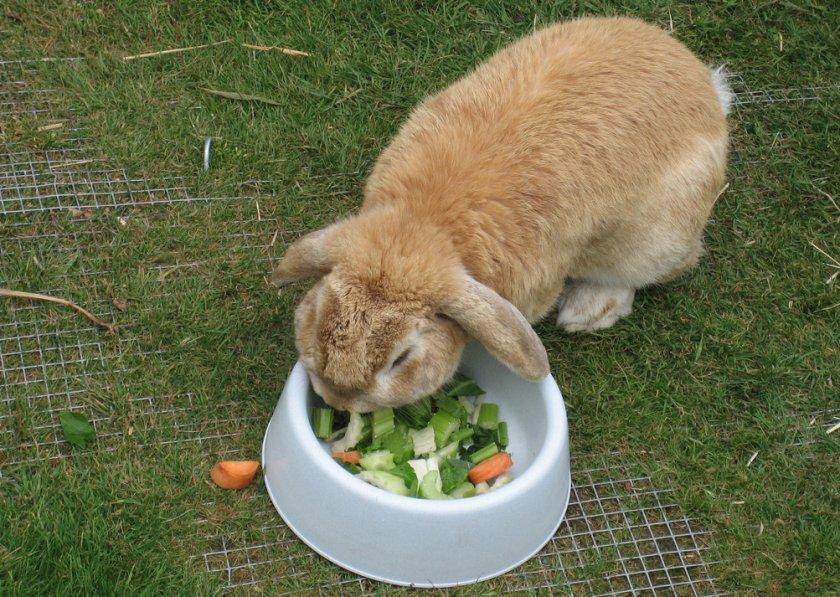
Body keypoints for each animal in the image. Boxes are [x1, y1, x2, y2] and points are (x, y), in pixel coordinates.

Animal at [270, 16, 730, 412]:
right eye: (318, 316)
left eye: (401, 359)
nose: (336, 401)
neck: (426, 224)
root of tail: (709, 89)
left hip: (657, 237)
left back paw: (587, 310)